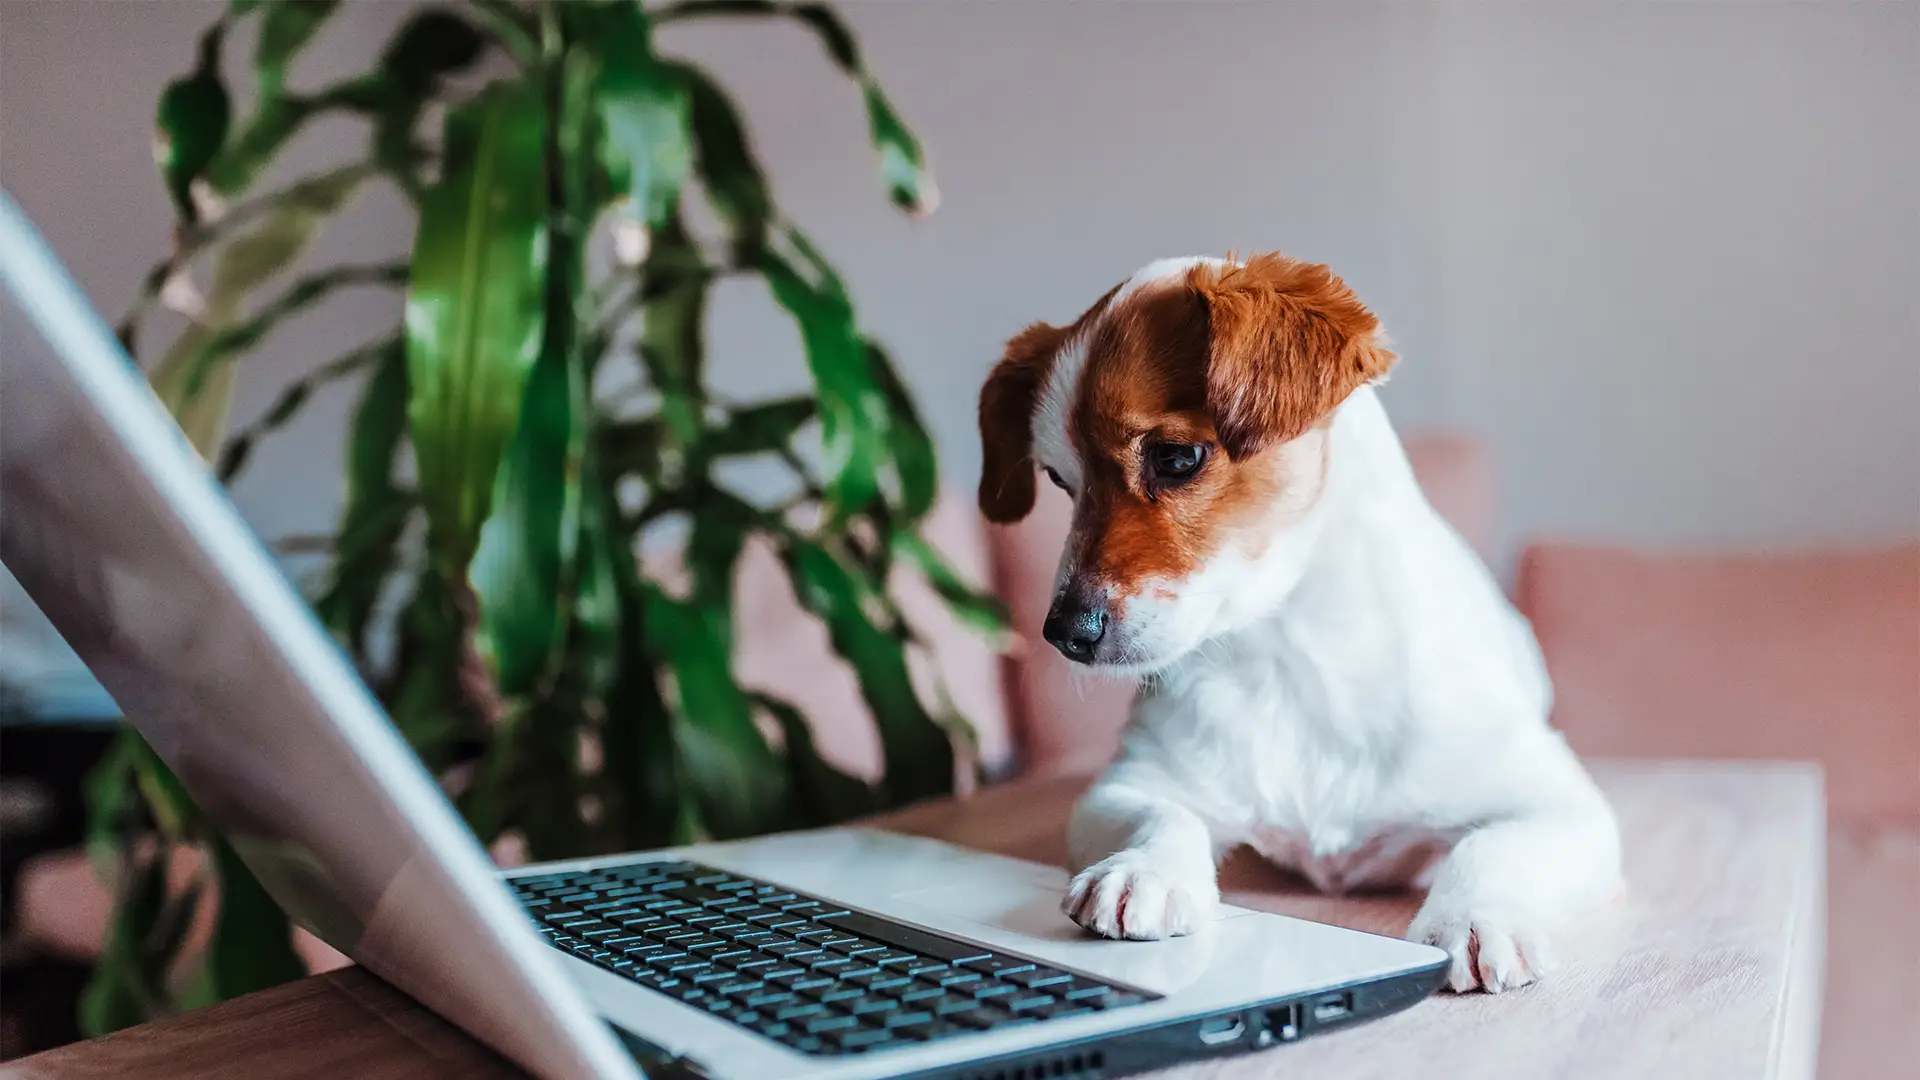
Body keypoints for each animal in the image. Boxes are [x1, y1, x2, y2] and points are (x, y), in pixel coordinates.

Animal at [975, 251, 1620, 991]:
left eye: (1175, 458)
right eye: (1060, 481)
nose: (1064, 632)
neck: (1290, 655)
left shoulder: (1560, 805)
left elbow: (1491, 847)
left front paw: (1476, 914)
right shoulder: (1127, 785)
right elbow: (1160, 816)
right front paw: (1145, 869)